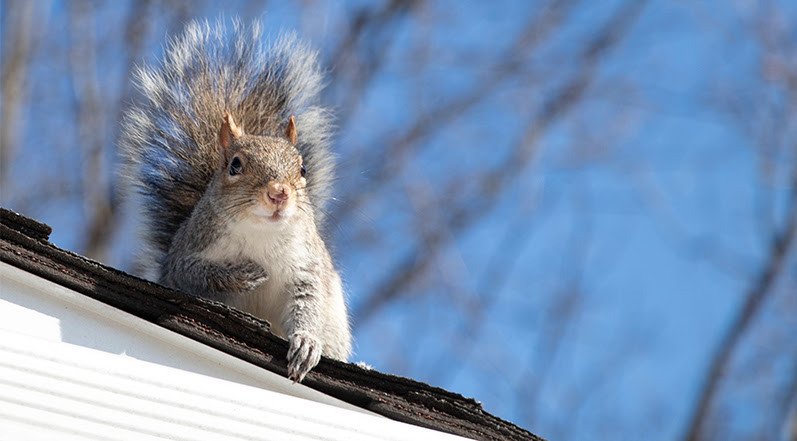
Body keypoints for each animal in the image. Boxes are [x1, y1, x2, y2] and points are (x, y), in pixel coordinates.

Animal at [119, 19, 352, 382]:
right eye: (235, 165)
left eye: (302, 169)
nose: (278, 193)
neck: (262, 234)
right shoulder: (187, 254)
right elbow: (193, 273)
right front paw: (242, 274)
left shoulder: (307, 266)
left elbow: (308, 302)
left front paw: (306, 343)